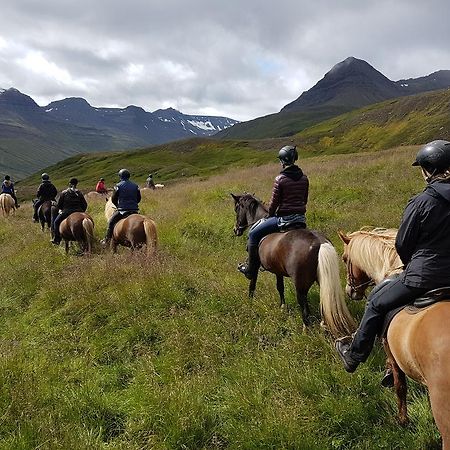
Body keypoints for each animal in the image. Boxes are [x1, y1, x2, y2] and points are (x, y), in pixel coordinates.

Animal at [232, 192, 356, 338]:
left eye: (237, 208)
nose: (236, 230)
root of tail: (320, 242)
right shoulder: (278, 271)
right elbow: (280, 287)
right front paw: (282, 307)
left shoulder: (256, 265)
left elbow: (252, 284)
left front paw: (250, 302)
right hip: (322, 279)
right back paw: (323, 324)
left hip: (299, 283)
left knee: (303, 304)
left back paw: (306, 329)